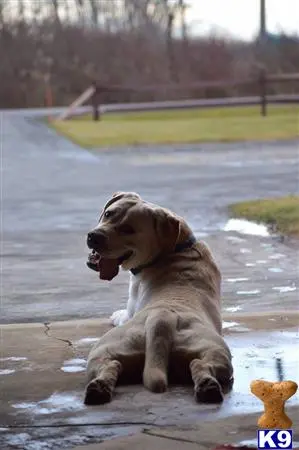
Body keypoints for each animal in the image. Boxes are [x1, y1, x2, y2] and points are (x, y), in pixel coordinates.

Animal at [84, 192, 234, 406]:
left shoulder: (131, 307)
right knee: (199, 363)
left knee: (111, 365)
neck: (176, 248)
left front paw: (115, 315)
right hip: (213, 352)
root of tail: (161, 319)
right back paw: (208, 387)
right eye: (108, 214)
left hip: (101, 350)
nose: (94, 236)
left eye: (128, 229)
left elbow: (122, 314)